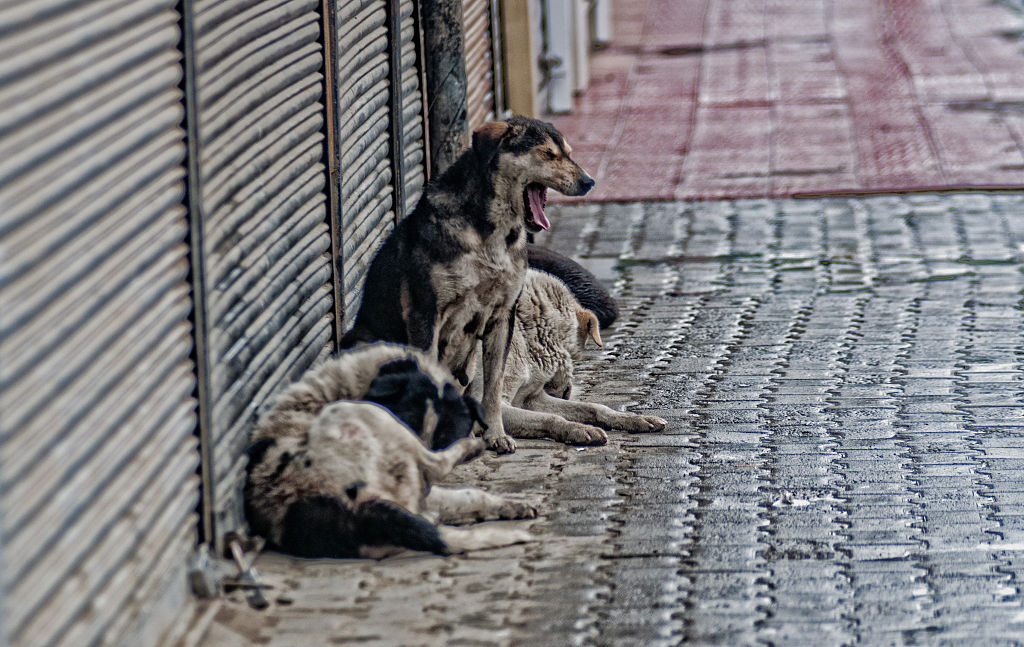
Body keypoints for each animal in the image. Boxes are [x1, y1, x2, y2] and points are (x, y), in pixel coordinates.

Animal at [339, 115, 598, 454]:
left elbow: (493, 391)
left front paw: (496, 435)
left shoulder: (502, 318)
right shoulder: (425, 315)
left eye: (567, 152)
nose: (589, 182)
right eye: (547, 154)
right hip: (365, 343)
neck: (491, 233)